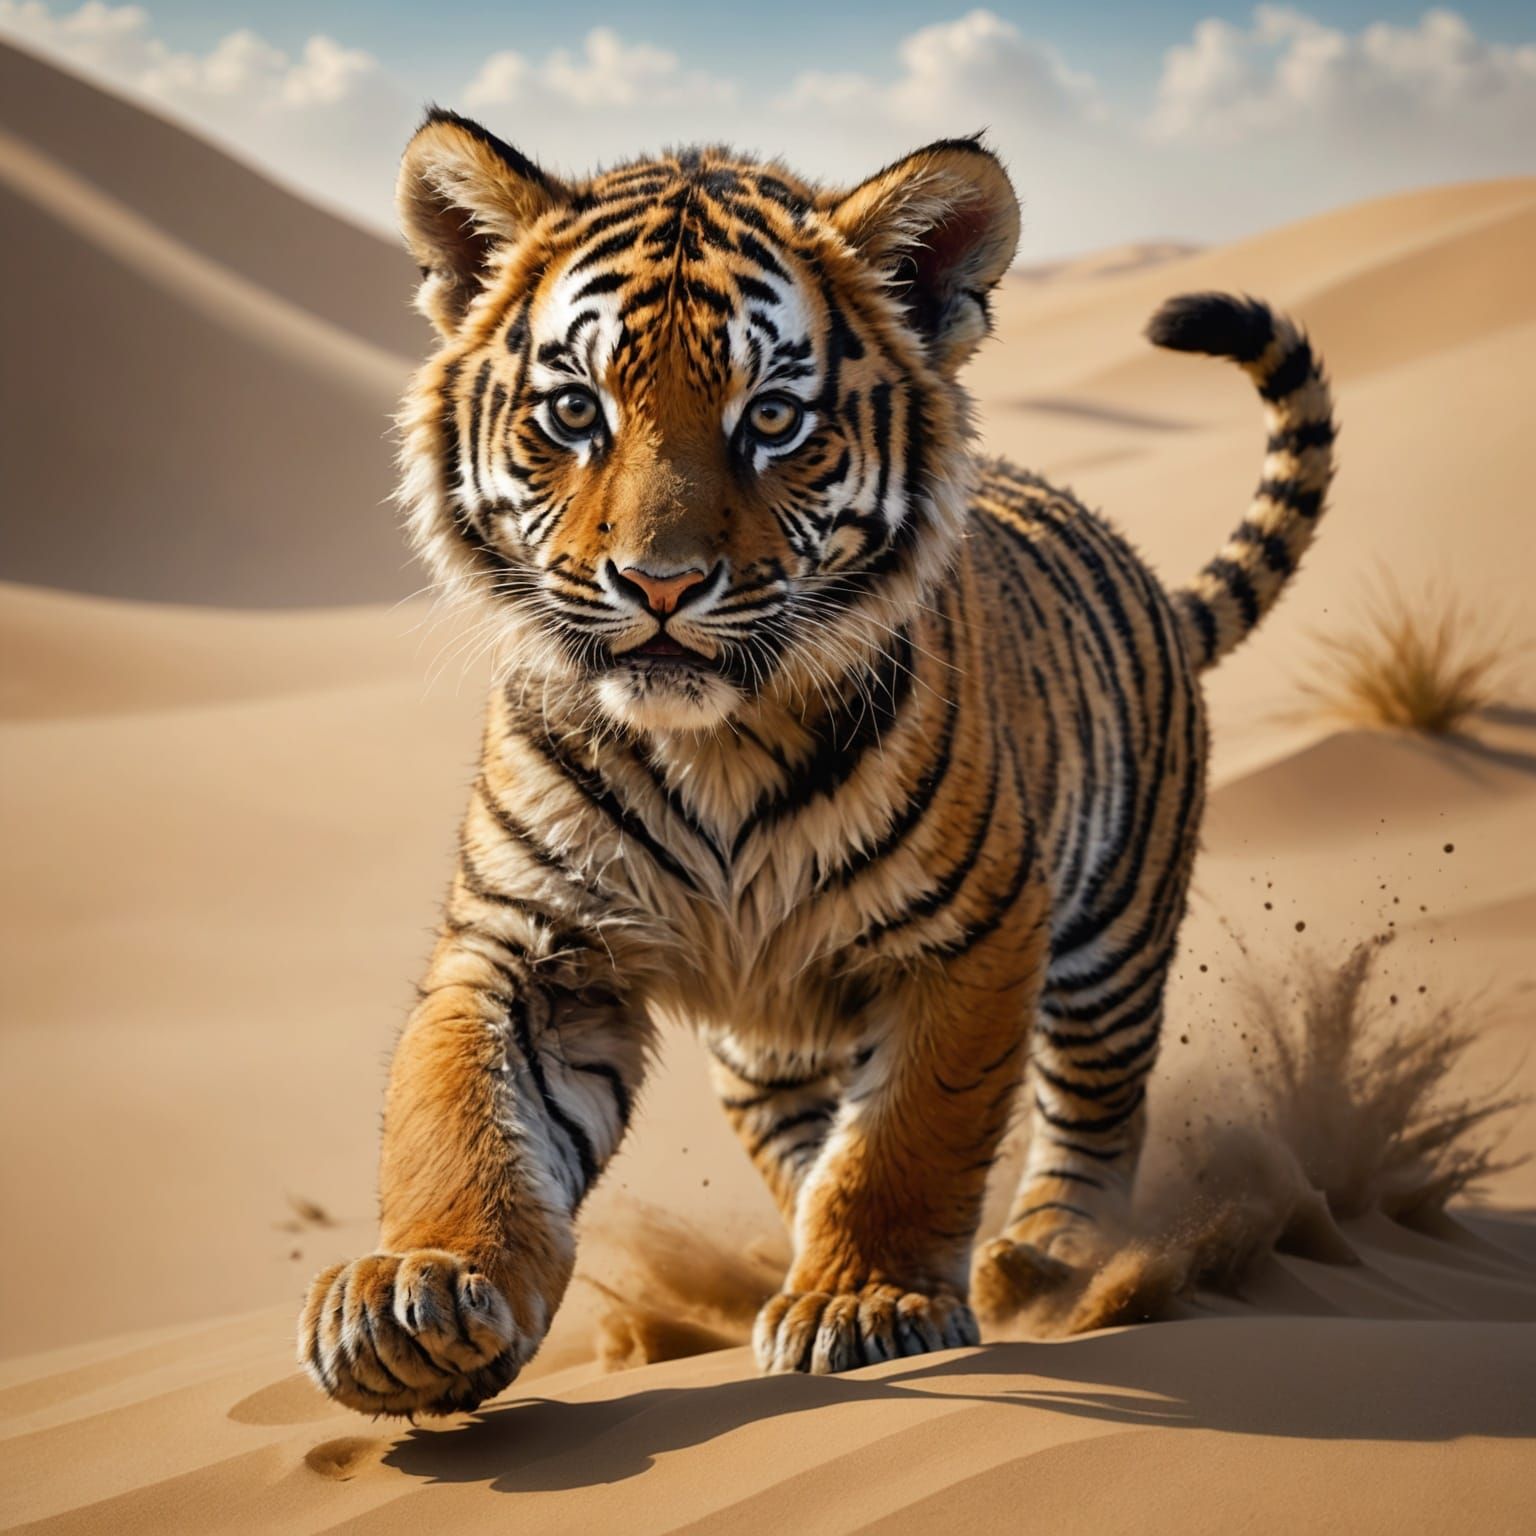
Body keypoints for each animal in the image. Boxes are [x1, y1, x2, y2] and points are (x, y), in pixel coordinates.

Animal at [298, 110, 1335, 1416]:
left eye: (774, 419)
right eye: (576, 412)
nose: (659, 585)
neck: (712, 749)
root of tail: (1137, 568)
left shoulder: (969, 937)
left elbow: (908, 1139)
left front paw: (868, 1299)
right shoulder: (531, 941)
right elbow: (463, 1117)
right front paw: (415, 1298)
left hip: (1112, 942)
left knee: (1095, 1121)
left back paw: (1047, 1267)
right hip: (767, 1048)